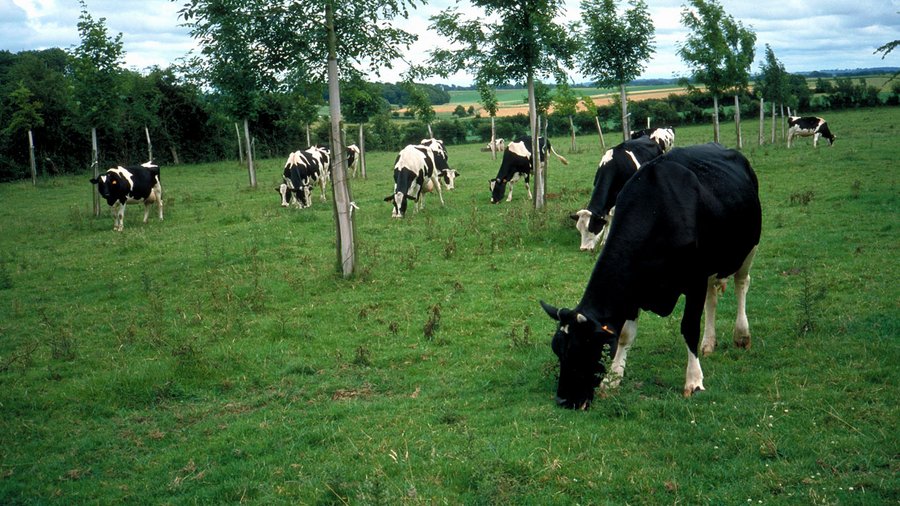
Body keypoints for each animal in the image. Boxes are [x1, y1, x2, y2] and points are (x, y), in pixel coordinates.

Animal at [536, 140, 764, 410]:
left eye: (582, 349)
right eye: (557, 350)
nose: (563, 400)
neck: (657, 211)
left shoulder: (694, 280)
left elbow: (689, 327)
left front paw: (694, 381)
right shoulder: (632, 289)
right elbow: (625, 335)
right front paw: (612, 380)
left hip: (749, 246)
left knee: (741, 284)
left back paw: (741, 335)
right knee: (712, 298)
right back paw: (709, 343)